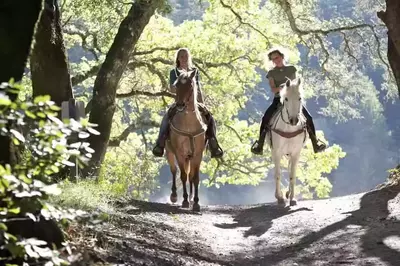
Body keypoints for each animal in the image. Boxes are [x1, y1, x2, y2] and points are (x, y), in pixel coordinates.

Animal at [166, 69, 208, 212]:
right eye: (177, 85)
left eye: (190, 86)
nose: (180, 105)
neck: (189, 124)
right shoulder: (179, 153)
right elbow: (183, 175)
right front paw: (184, 201)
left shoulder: (198, 154)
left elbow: (195, 178)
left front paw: (196, 203)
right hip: (170, 153)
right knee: (174, 170)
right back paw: (174, 196)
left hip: (189, 157)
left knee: (190, 175)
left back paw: (190, 199)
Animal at [268, 77, 308, 206]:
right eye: (286, 99)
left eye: (299, 98)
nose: (294, 120)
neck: (289, 129)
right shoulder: (276, 152)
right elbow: (278, 174)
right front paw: (279, 197)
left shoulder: (296, 153)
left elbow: (292, 175)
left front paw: (292, 198)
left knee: (290, 168)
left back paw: (288, 193)